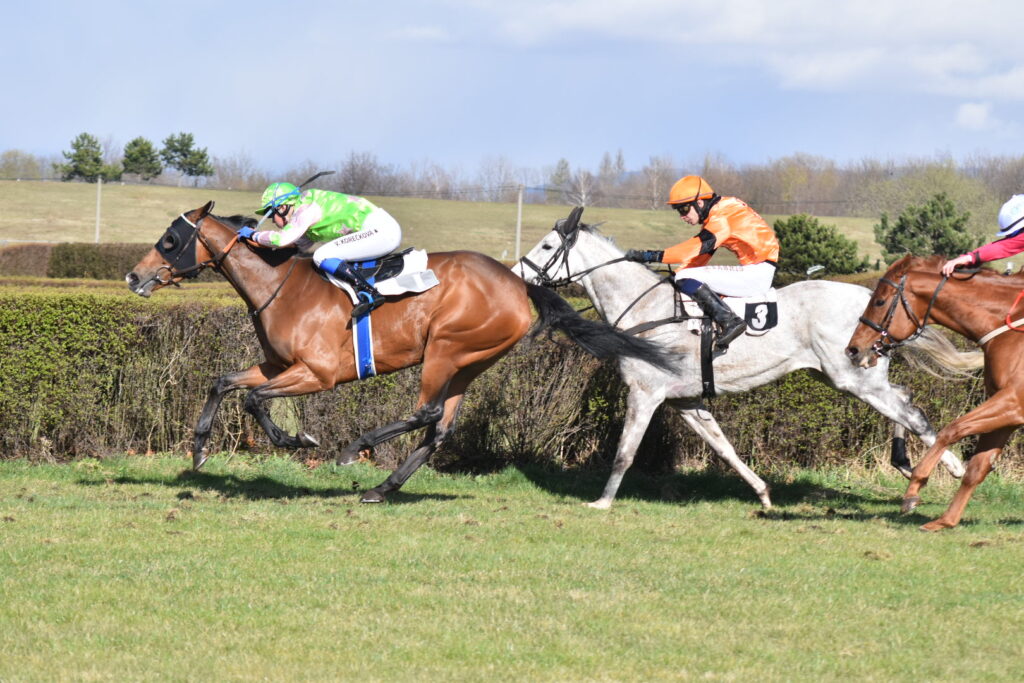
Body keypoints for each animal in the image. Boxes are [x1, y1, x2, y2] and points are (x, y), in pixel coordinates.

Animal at [125, 202, 677, 503]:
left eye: (169, 240)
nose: (133, 276)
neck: (279, 285)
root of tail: (519, 284)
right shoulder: (277, 365)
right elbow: (223, 382)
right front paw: (199, 449)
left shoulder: (317, 372)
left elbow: (254, 400)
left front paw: (298, 439)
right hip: (470, 363)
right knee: (439, 427)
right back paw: (382, 487)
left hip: (446, 348)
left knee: (426, 412)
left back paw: (356, 449)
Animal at [514, 209, 977, 510]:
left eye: (548, 244)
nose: (517, 276)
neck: (647, 310)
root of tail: (872, 298)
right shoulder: (685, 400)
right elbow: (725, 448)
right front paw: (763, 493)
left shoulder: (645, 393)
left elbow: (625, 452)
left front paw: (602, 501)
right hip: (850, 374)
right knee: (903, 399)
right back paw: (905, 462)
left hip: (854, 377)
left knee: (910, 411)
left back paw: (951, 467)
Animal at [846, 254, 1019, 530]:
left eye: (879, 301)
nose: (853, 349)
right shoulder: (1007, 409)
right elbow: (976, 469)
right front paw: (946, 521)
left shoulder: (1013, 401)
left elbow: (951, 430)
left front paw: (913, 489)